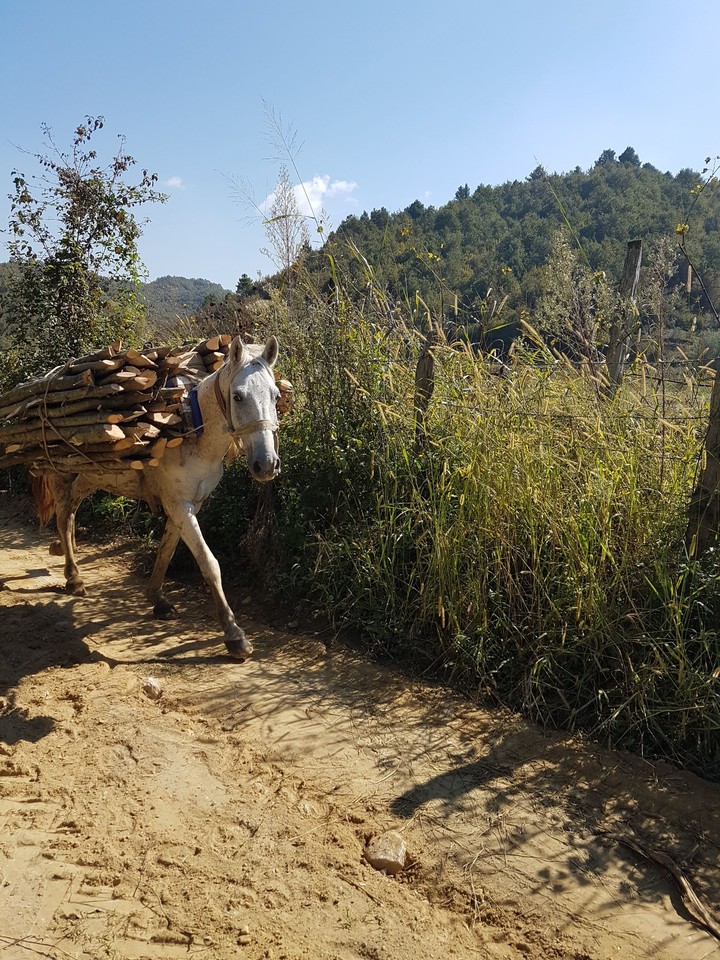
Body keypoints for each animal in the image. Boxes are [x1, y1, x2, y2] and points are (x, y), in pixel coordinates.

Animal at [31, 335, 281, 659]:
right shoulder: (180, 505)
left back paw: (63, 552)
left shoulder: (188, 504)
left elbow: (167, 550)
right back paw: (73, 578)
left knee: (71, 511)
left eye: (275, 396)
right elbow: (209, 563)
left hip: (89, 476)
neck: (191, 433)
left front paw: (157, 598)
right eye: (238, 396)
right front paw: (234, 634)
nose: (267, 465)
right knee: (63, 517)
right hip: (59, 472)